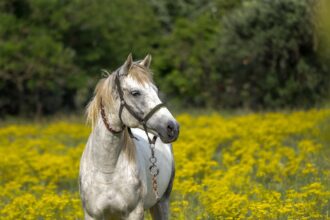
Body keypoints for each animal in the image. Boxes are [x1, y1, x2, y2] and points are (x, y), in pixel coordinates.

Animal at [78, 53, 179, 220]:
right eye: (135, 93)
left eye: (156, 90)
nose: (173, 127)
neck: (107, 170)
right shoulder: (92, 215)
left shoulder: (134, 213)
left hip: (162, 202)